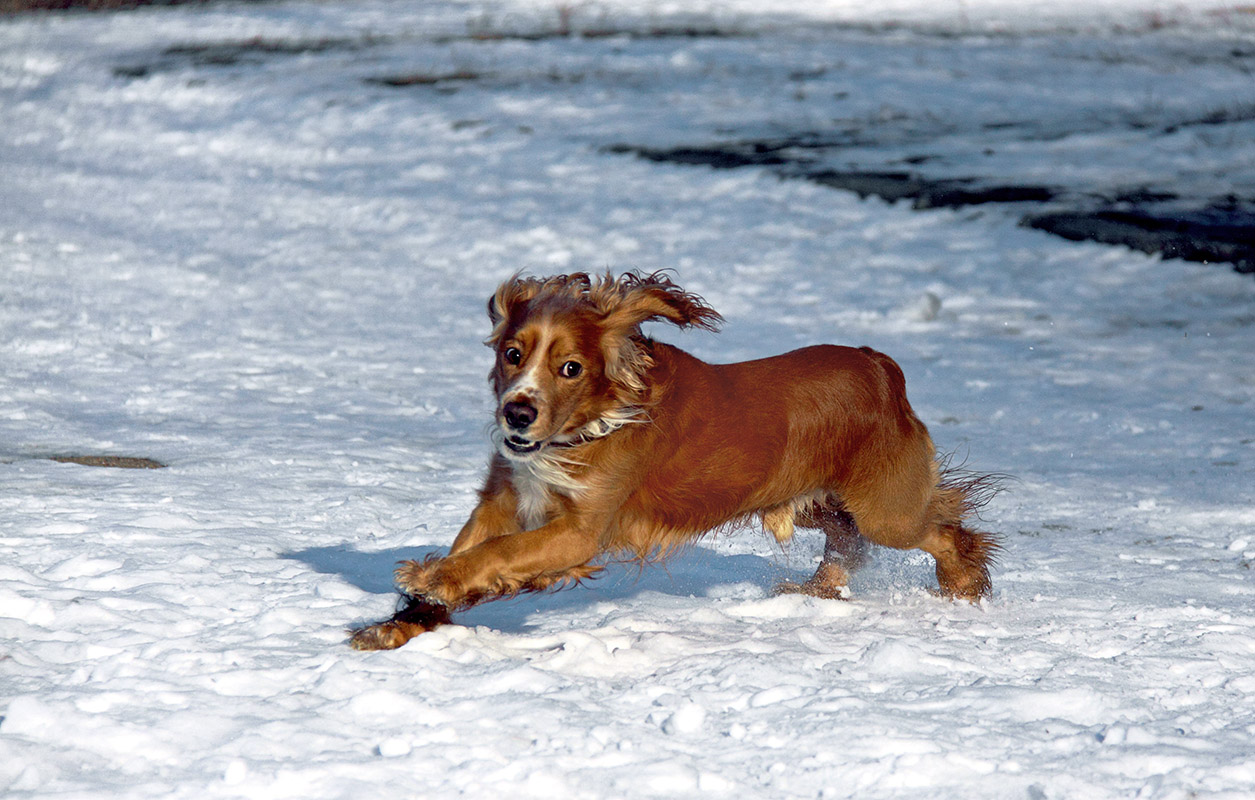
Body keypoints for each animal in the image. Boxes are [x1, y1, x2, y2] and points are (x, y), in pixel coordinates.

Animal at [348, 272, 993, 648]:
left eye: (570, 367)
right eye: (512, 353)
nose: (517, 414)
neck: (590, 426)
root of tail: (880, 365)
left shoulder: (579, 530)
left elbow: (495, 554)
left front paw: (431, 579)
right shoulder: (505, 498)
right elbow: (478, 549)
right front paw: (402, 623)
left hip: (885, 506)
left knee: (944, 528)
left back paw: (964, 586)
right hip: (811, 500)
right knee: (848, 540)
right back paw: (818, 592)